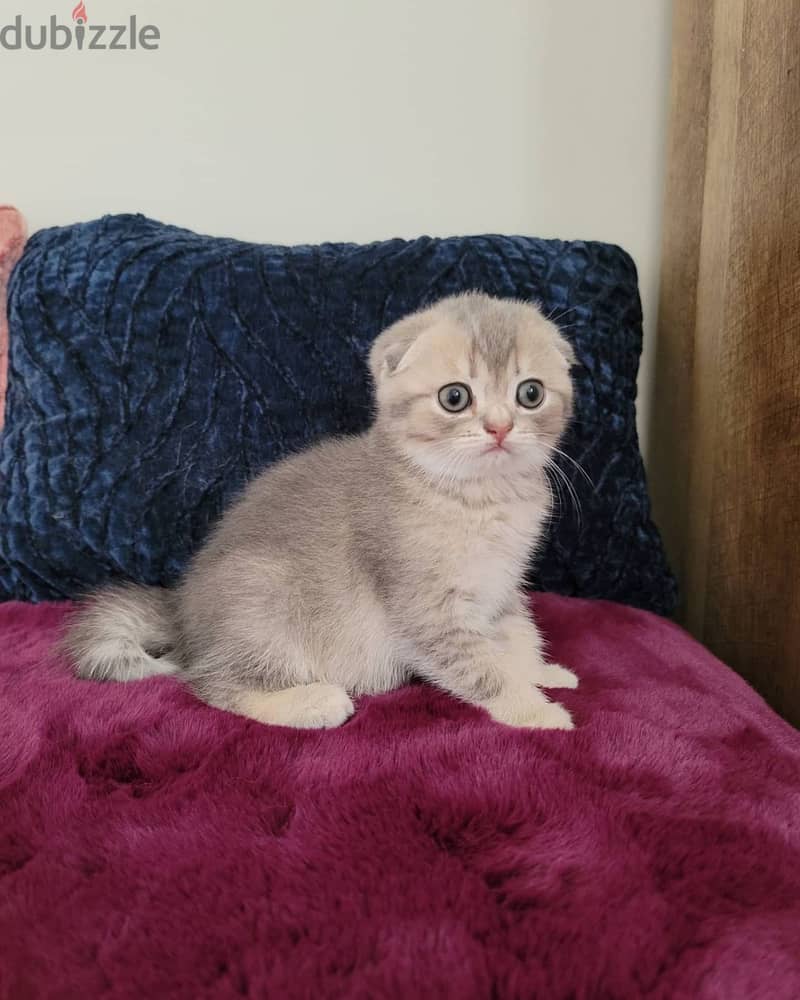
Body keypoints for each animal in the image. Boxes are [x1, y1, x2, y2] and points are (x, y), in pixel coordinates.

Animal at [62, 292, 580, 732]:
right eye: (455, 397)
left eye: (530, 393)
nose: (500, 427)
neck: (483, 498)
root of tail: (181, 609)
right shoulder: (427, 608)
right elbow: (481, 668)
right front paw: (535, 710)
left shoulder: (502, 586)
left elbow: (516, 634)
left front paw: (538, 671)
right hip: (261, 598)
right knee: (210, 682)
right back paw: (310, 702)